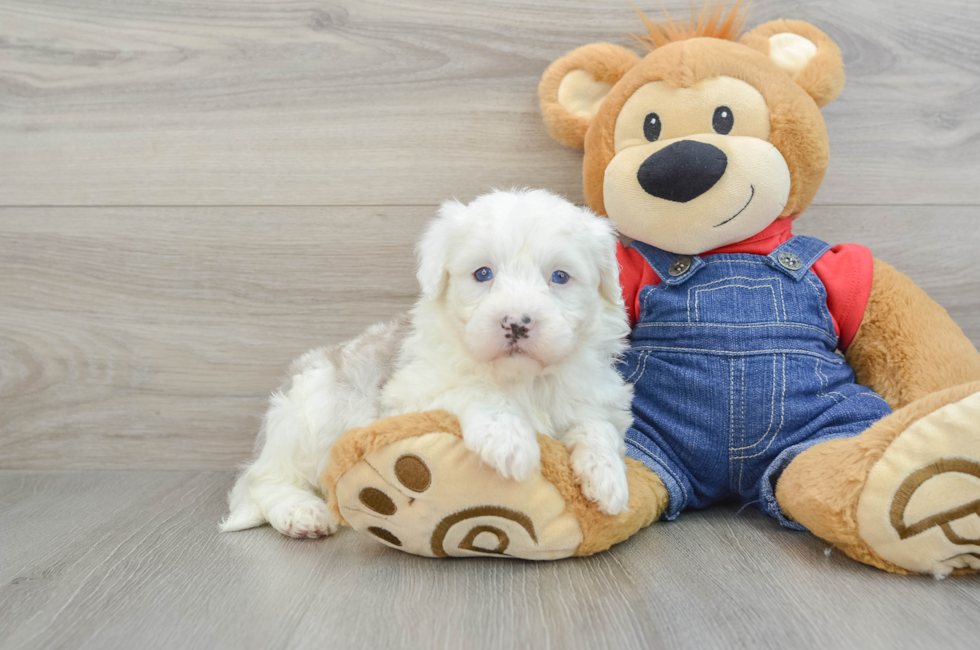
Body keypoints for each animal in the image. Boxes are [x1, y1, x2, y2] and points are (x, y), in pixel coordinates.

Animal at [222, 187, 636, 536]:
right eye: (483, 273)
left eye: (560, 277)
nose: (517, 322)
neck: (522, 379)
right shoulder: (409, 396)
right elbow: (474, 391)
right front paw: (509, 441)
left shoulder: (592, 397)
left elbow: (597, 427)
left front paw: (608, 479)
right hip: (311, 414)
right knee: (262, 480)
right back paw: (302, 513)